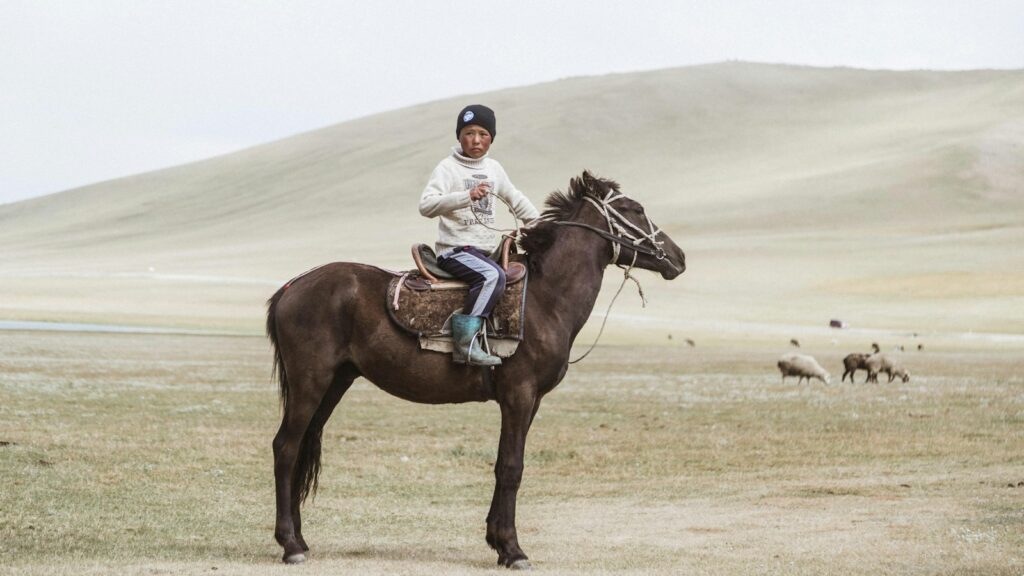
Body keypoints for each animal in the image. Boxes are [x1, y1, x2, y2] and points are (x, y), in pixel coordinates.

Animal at [266, 171, 686, 568]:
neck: (546, 298)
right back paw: (290, 545)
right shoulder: (518, 394)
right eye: (634, 209)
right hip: (310, 382)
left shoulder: (530, 401)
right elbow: (512, 467)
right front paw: (514, 549)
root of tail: (291, 287)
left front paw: (498, 542)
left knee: (303, 444)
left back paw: (300, 539)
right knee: (286, 447)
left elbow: (503, 465)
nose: (678, 257)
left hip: (335, 383)